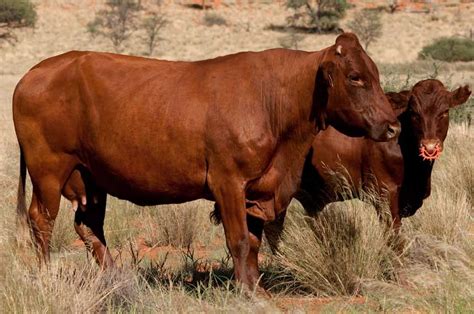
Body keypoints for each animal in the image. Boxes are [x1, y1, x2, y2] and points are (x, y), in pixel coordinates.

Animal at [13, 33, 400, 290]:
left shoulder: (256, 189)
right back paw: (46, 276)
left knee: (89, 227)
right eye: (355, 77)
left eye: (376, 74)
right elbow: (239, 240)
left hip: (91, 180)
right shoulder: (227, 182)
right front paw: (246, 292)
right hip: (49, 172)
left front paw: (254, 286)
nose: (392, 126)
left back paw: (117, 277)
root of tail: (33, 73)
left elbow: (253, 243)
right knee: (41, 221)